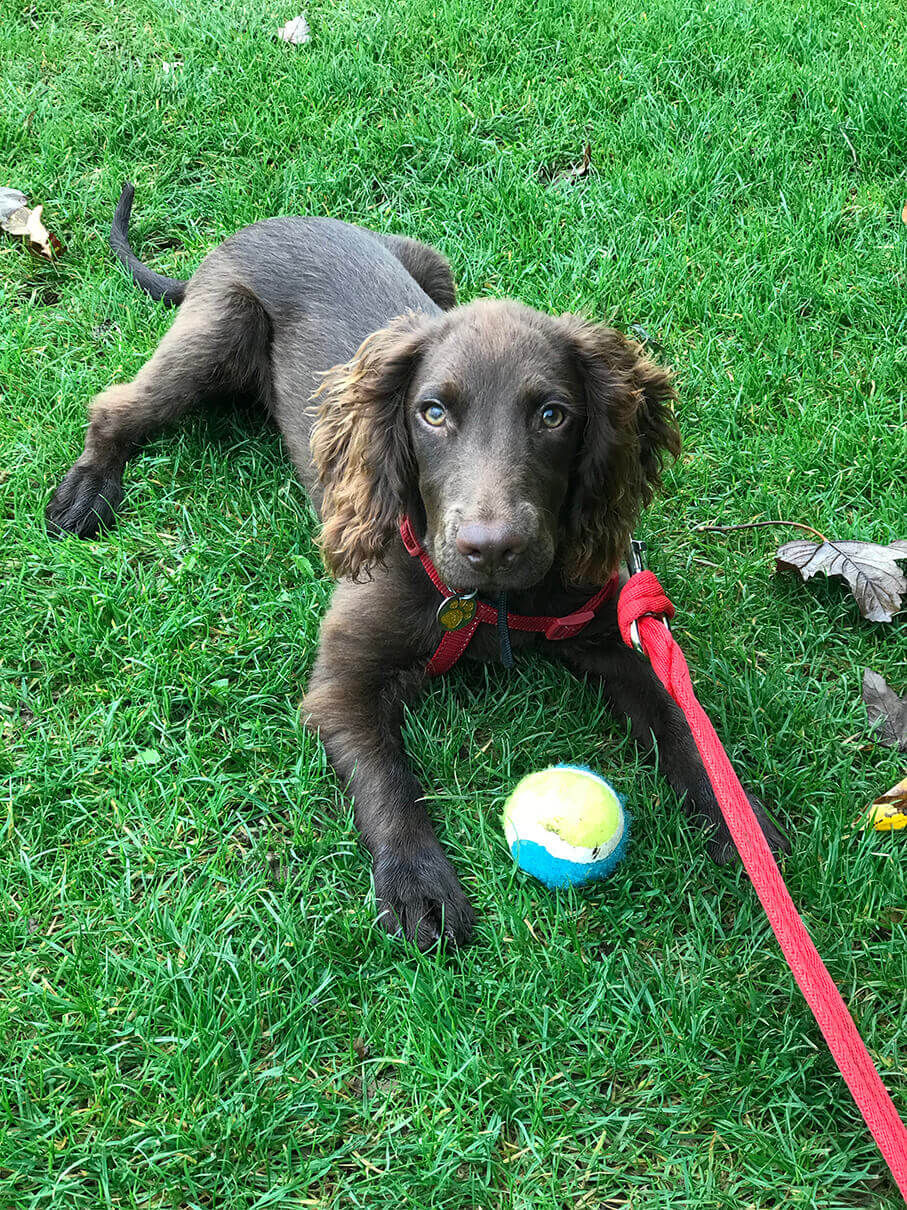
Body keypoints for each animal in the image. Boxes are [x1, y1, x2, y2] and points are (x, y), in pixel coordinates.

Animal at [46, 183, 793, 948]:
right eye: (432, 413)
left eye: (552, 415)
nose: (490, 548)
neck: (492, 605)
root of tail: (260, 226)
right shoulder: (340, 684)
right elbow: (388, 779)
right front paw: (417, 880)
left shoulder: (616, 638)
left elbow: (682, 723)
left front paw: (738, 824)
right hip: (216, 334)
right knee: (114, 406)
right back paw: (88, 488)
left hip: (430, 266)